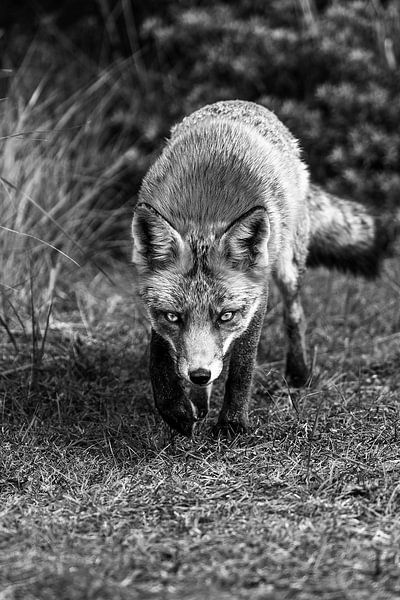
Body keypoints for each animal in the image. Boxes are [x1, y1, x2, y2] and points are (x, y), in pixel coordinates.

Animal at [130, 99, 396, 436]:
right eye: (173, 317)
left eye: (226, 316)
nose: (200, 375)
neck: (204, 215)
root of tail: (245, 103)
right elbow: (159, 356)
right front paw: (176, 409)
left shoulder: (257, 296)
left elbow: (242, 368)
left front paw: (231, 423)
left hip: (287, 267)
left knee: (295, 316)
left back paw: (298, 373)